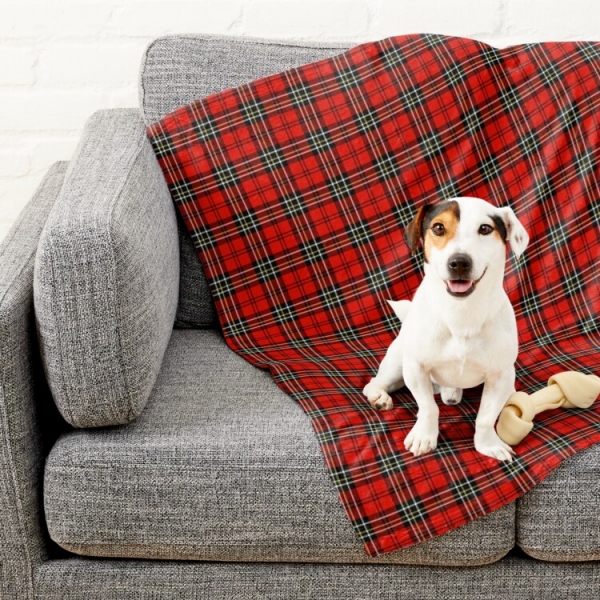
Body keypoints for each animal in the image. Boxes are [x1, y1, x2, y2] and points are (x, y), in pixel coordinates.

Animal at [364, 199, 528, 462]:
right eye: (438, 228)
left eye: (485, 228)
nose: (459, 262)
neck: (461, 314)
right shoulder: (416, 368)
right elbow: (428, 408)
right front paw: (424, 437)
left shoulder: (501, 376)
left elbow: (486, 417)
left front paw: (488, 445)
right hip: (397, 364)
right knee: (374, 382)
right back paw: (379, 397)